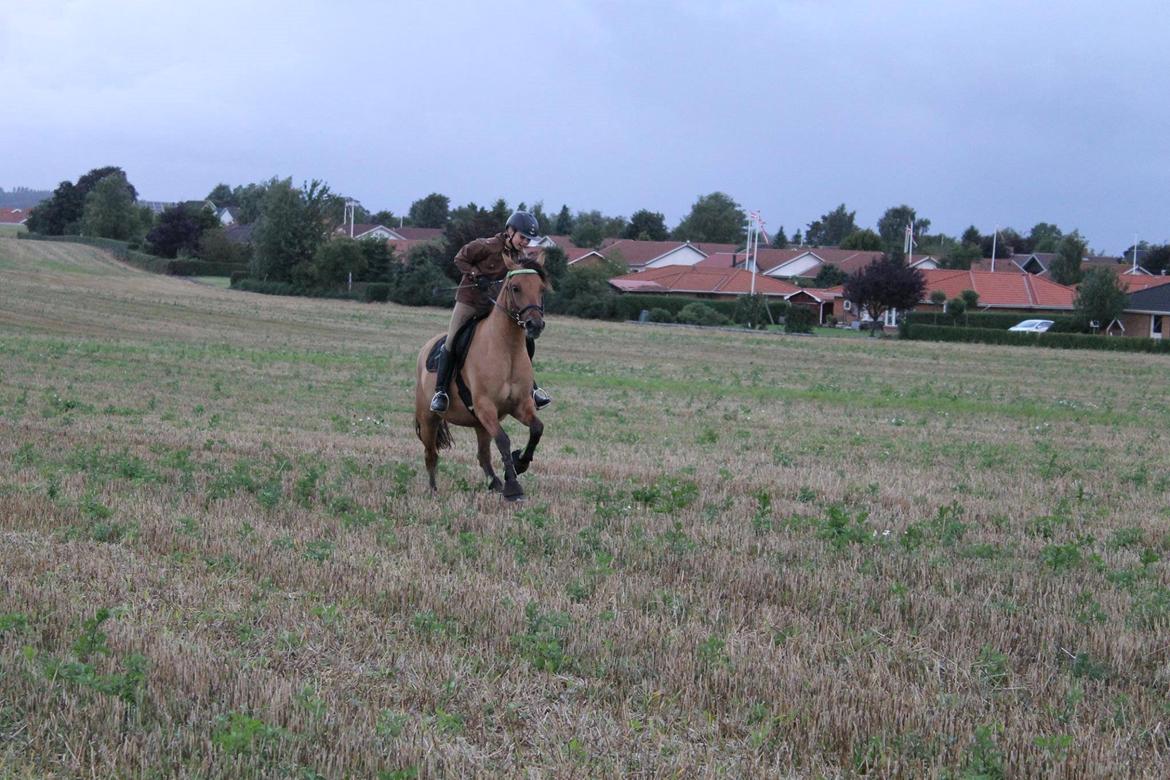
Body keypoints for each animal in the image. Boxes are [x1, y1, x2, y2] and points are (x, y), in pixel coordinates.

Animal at [413, 266, 549, 501]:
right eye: (516, 288)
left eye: (541, 288)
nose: (535, 325)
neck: (507, 349)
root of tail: (426, 348)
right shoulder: (486, 407)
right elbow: (503, 440)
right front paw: (513, 487)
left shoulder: (520, 405)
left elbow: (536, 429)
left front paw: (519, 464)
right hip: (429, 418)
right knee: (431, 454)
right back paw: (433, 490)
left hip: (479, 424)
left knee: (483, 455)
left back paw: (495, 483)